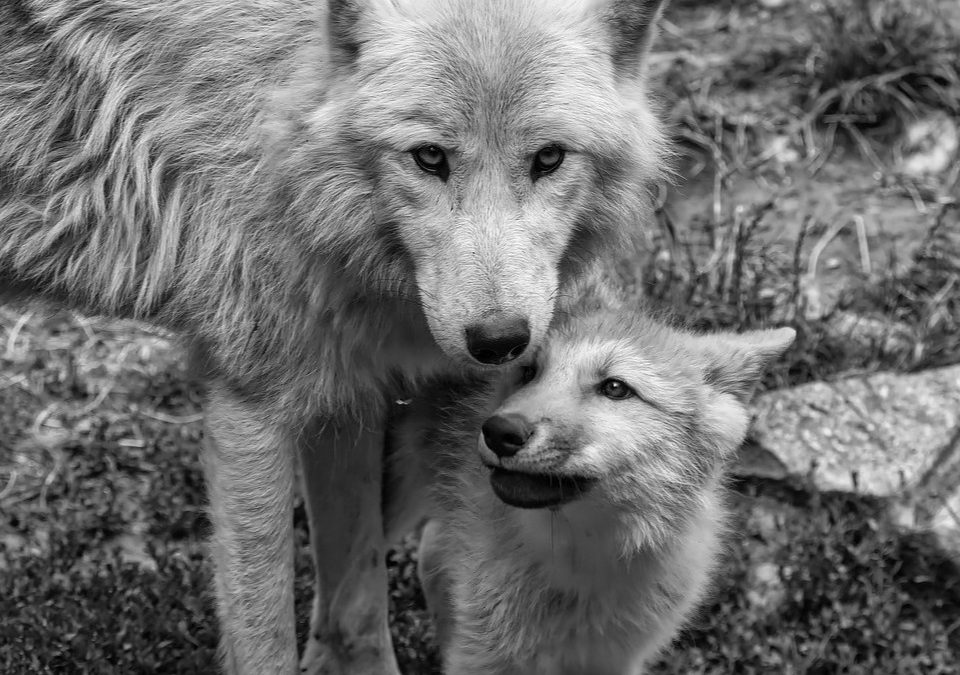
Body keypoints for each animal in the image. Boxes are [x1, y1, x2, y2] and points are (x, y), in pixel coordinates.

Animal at [1, 0, 669, 672]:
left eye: (549, 158)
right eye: (430, 157)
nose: (499, 340)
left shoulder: (345, 394)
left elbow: (356, 609)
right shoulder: (249, 407)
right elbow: (266, 639)